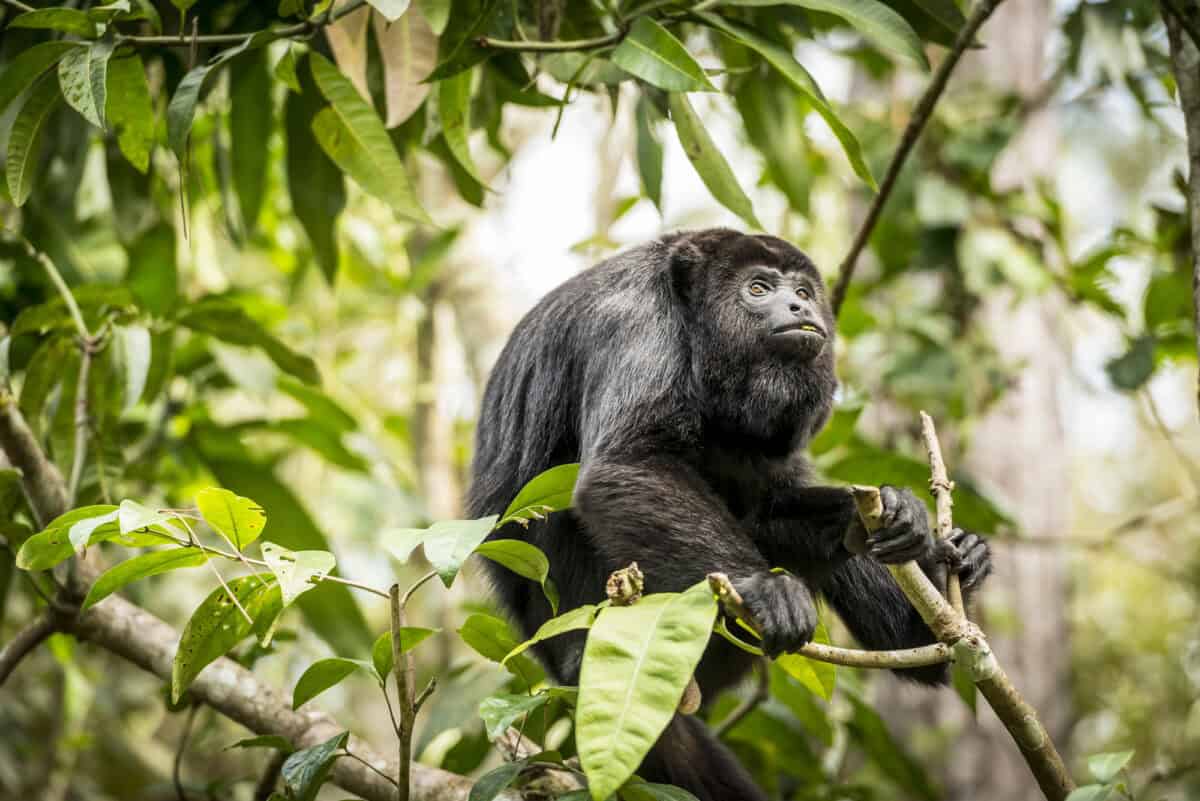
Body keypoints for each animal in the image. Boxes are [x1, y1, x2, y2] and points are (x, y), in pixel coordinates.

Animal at [467, 228, 992, 801]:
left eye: (803, 290)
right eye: (758, 288)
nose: (801, 306)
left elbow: (766, 506)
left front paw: (905, 511)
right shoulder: (635, 324)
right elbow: (629, 462)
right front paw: (765, 588)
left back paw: (934, 605)